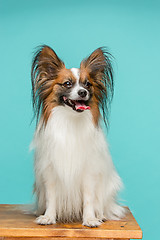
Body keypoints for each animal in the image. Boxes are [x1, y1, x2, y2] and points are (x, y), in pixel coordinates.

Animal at [30, 45, 125, 227]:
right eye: (67, 84)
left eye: (88, 84)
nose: (82, 92)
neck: (70, 119)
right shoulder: (50, 171)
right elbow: (52, 197)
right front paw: (48, 217)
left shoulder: (88, 172)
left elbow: (88, 198)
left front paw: (89, 219)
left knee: (101, 204)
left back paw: (100, 214)